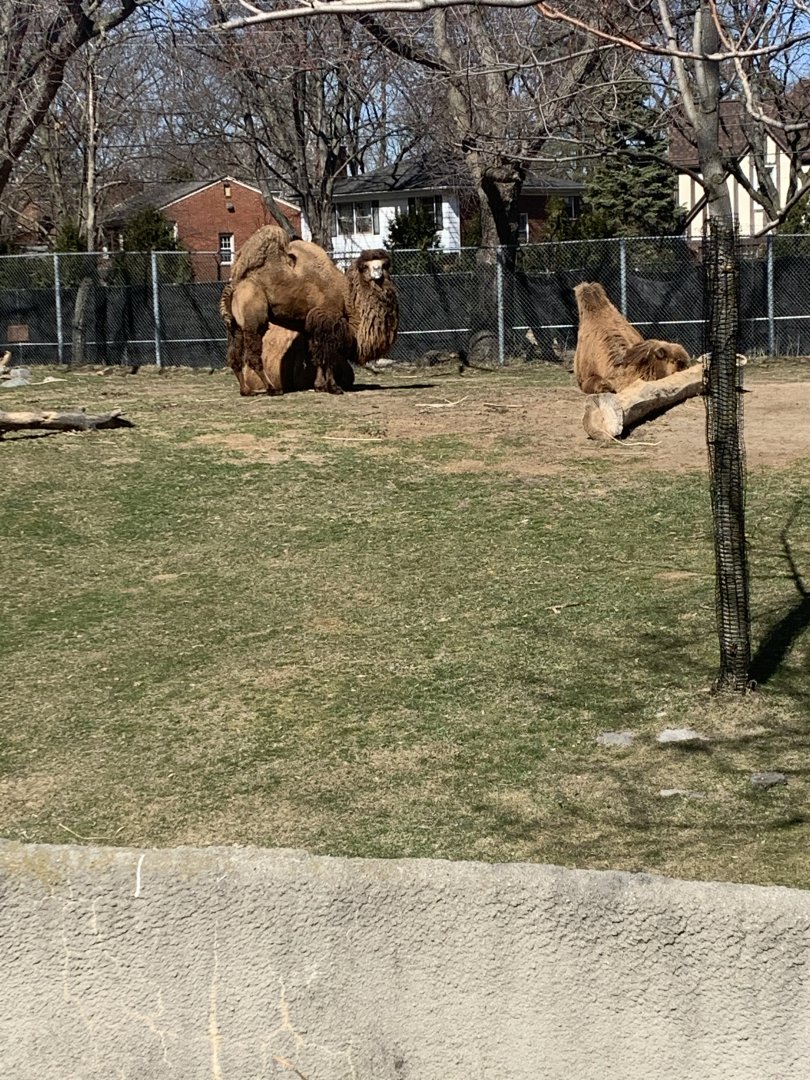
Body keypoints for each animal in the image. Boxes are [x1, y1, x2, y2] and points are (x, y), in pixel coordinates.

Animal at [219, 226, 399, 396]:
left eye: (384, 265)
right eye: (365, 267)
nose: (377, 272)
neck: (347, 300)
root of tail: (234, 286)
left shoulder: (312, 325)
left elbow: (316, 356)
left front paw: (320, 386)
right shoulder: (328, 320)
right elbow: (329, 356)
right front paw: (333, 387)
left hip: (234, 326)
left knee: (234, 356)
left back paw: (246, 390)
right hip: (253, 319)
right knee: (253, 356)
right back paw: (272, 389)